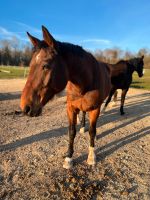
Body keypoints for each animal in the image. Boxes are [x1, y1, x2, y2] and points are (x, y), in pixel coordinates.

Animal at [19, 26, 110, 169]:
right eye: (30, 65)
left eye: (45, 66)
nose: (25, 107)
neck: (85, 83)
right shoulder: (71, 108)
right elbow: (71, 132)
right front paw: (68, 158)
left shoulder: (95, 109)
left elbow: (92, 131)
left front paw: (91, 156)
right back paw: (82, 127)